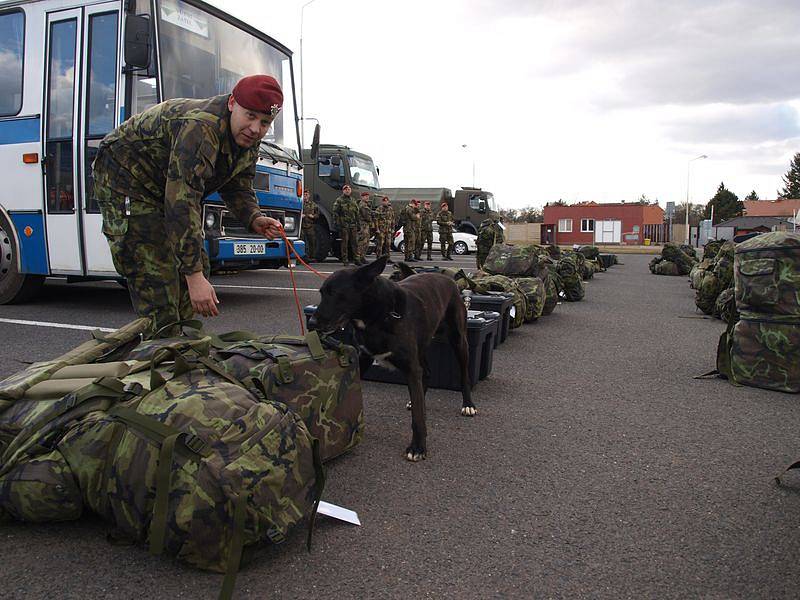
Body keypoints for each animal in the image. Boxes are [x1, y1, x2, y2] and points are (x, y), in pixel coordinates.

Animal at [310, 255, 476, 462]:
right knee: (427, 372)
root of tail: (448, 279)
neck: (378, 316)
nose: (311, 323)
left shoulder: (411, 367)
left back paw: (468, 404)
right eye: (321, 293)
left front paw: (418, 447)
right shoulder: (364, 359)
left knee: (463, 375)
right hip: (421, 347)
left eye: (335, 293)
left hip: (459, 341)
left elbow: (418, 418)